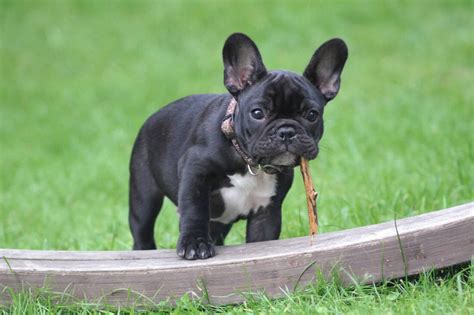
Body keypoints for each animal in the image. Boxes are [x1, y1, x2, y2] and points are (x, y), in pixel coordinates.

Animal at [130, 33, 348, 260]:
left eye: (312, 115)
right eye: (257, 113)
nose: (286, 131)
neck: (248, 161)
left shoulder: (266, 213)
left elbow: (263, 239)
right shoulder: (194, 170)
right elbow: (194, 208)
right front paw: (195, 243)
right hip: (144, 194)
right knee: (142, 228)